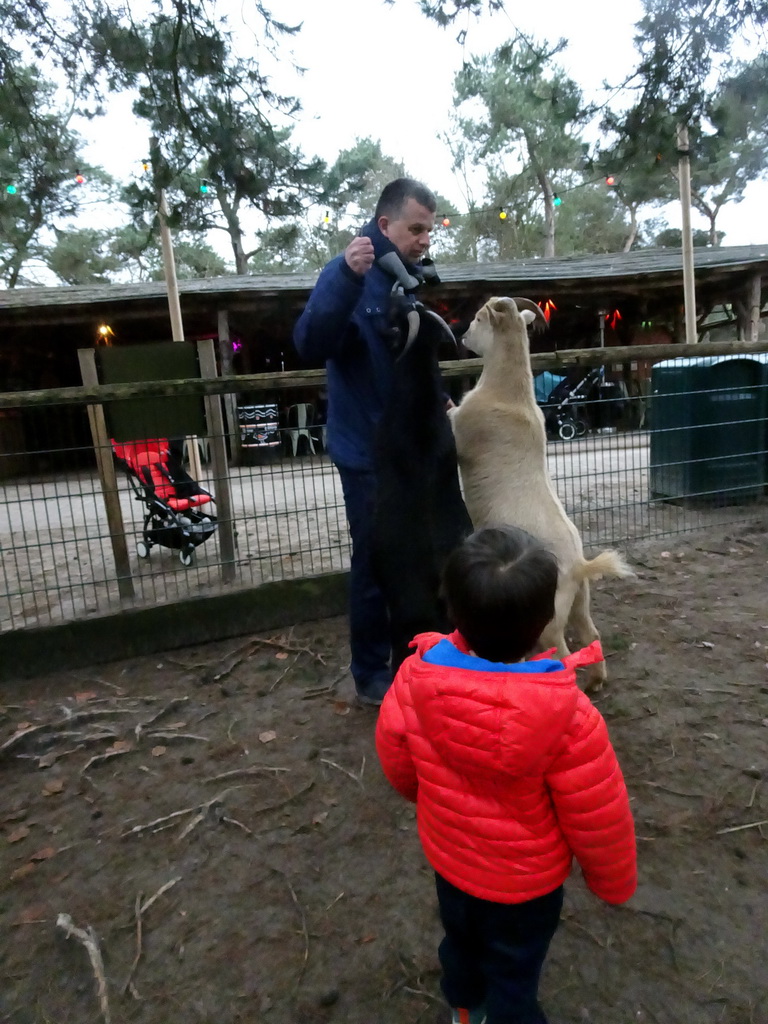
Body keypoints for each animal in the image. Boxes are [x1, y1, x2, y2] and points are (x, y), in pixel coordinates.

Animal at [448, 296, 634, 696]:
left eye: (479, 318)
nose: (465, 337)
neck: (509, 392)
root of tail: (579, 565)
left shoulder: (460, 429)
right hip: (580, 601)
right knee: (591, 634)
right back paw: (596, 682)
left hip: (550, 617)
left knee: (561, 654)